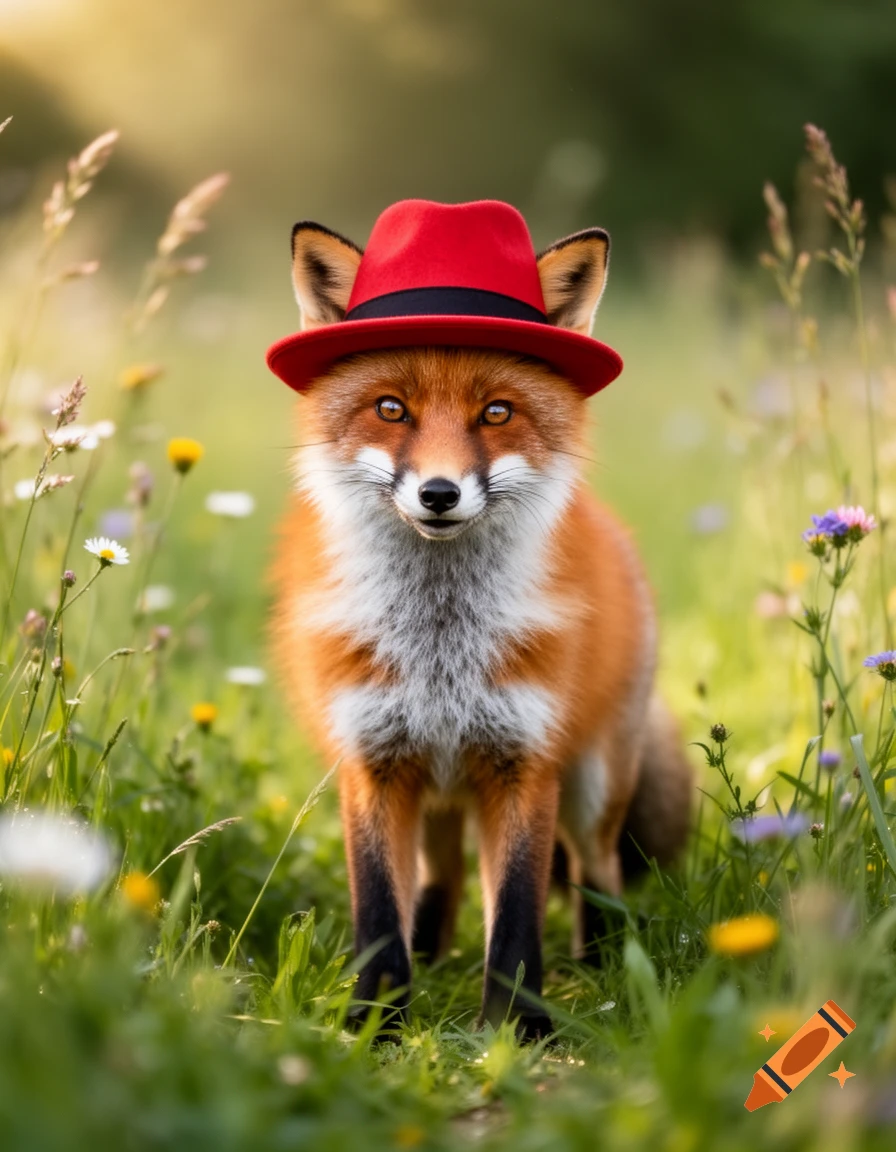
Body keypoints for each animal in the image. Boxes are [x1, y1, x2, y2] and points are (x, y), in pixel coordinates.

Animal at [270, 203, 692, 1040]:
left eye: (496, 412)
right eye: (391, 409)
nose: (439, 493)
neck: (441, 649)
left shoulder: (525, 763)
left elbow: (519, 916)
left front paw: (521, 1030)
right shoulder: (372, 764)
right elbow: (379, 916)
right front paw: (376, 1023)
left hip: (594, 782)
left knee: (595, 872)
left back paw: (602, 966)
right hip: (434, 788)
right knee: (444, 878)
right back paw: (432, 960)